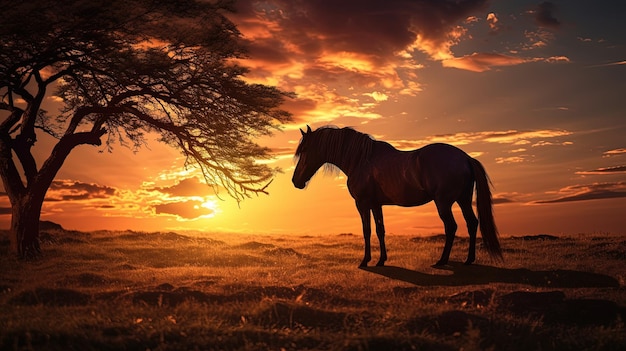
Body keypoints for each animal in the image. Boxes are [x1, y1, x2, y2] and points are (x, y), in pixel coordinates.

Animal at [292, 126, 502, 266]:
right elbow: (380, 230)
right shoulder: (376, 205)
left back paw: (442, 261)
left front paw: (365, 261)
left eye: (304, 150)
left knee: (451, 227)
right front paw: (381, 260)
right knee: (472, 223)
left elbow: (367, 231)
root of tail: (465, 158)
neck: (360, 160)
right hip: (463, 200)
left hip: (444, 203)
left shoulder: (362, 204)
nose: (295, 181)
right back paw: (469, 260)